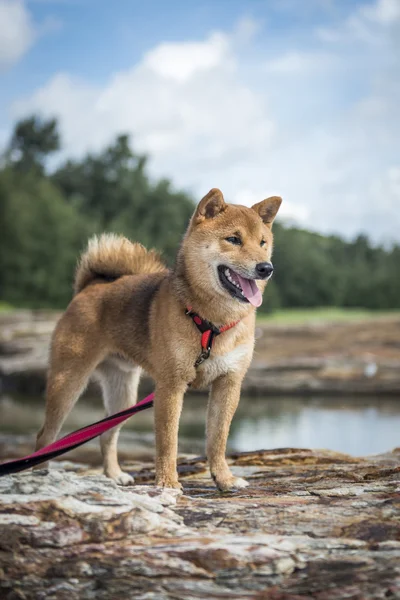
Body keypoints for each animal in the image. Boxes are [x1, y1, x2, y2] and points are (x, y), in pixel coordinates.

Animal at [37, 190, 282, 490]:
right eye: (233, 239)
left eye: (262, 242)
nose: (266, 268)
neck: (213, 323)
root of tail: (90, 287)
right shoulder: (171, 385)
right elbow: (168, 441)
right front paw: (167, 483)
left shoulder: (229, 383)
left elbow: (218, 439)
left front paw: (224, 479)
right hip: (67, 383)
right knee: (45, 437)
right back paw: (41, 474)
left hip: (123, 395)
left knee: (106, 434)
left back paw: (114, 474)